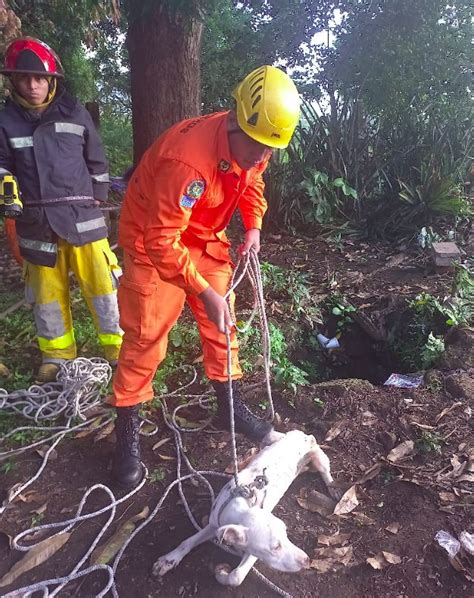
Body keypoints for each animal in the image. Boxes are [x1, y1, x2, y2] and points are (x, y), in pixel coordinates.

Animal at [154, 432, 338, 592]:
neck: (239, 506)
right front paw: (169, 560)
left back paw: (333, 487)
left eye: (286, 534)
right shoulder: (214, 525)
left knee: (325, 471)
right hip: (269, 439)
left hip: (318, 456)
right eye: (275, 547)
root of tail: (300, 433)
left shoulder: (252, 554)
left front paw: (221, 573)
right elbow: (187, 541)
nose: (307, 560)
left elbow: (236, 576)